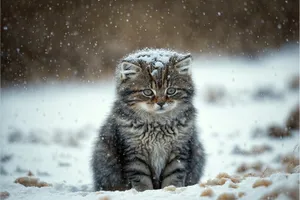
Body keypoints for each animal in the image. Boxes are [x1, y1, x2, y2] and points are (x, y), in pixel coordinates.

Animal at [90, 48, 205, 191]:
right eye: (148, 92)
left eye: (171, 91)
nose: (161, 103)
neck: (158, 125)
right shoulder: (134, 153)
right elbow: (141, 178)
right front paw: (144, 191)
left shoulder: (178, 150)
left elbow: (173, 176)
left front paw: (170, 189)